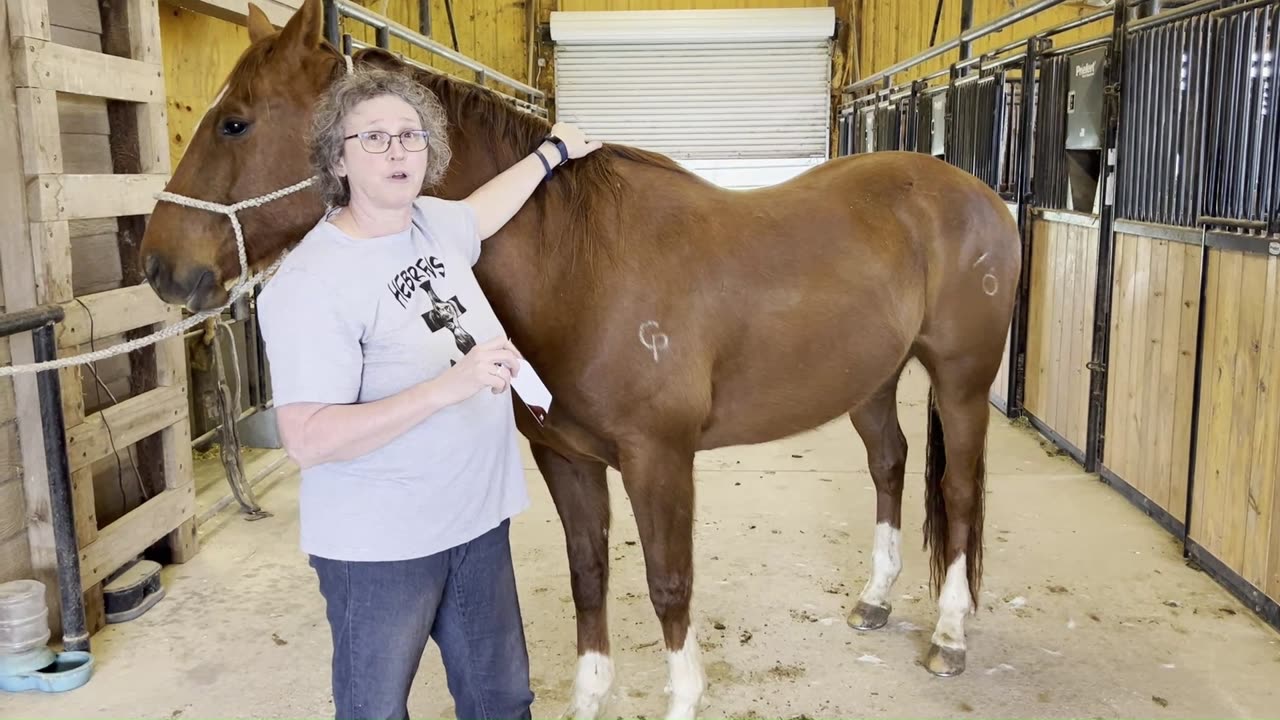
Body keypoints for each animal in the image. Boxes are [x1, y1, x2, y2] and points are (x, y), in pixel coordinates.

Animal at [140, 2, 1018, 712]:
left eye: (235, 122)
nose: (158, 265)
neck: (578, 264)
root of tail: (974, 194)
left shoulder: (658, 460)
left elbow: (668, 583)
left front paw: (682, 699)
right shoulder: (567, 457)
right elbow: (588, 573)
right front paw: (591, 698)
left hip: (961, 383)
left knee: (960, 492)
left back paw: (949, 635)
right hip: (869, 381)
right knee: (891, 464)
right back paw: (875, 599)